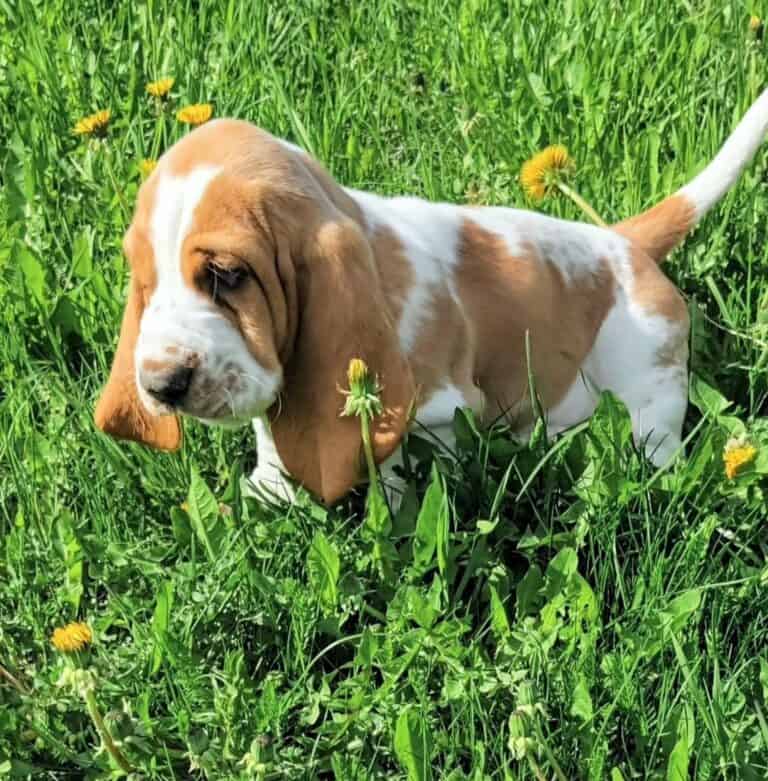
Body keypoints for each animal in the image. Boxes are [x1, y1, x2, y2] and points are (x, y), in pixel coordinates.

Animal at [94, 90, 768, 500]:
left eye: (227, 274)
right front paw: (269, 494)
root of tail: (621, 243)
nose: (160, 385)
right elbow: (273, 436)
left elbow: (399, 476)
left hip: (651, 391)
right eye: (145, 279)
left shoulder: (439, 414)